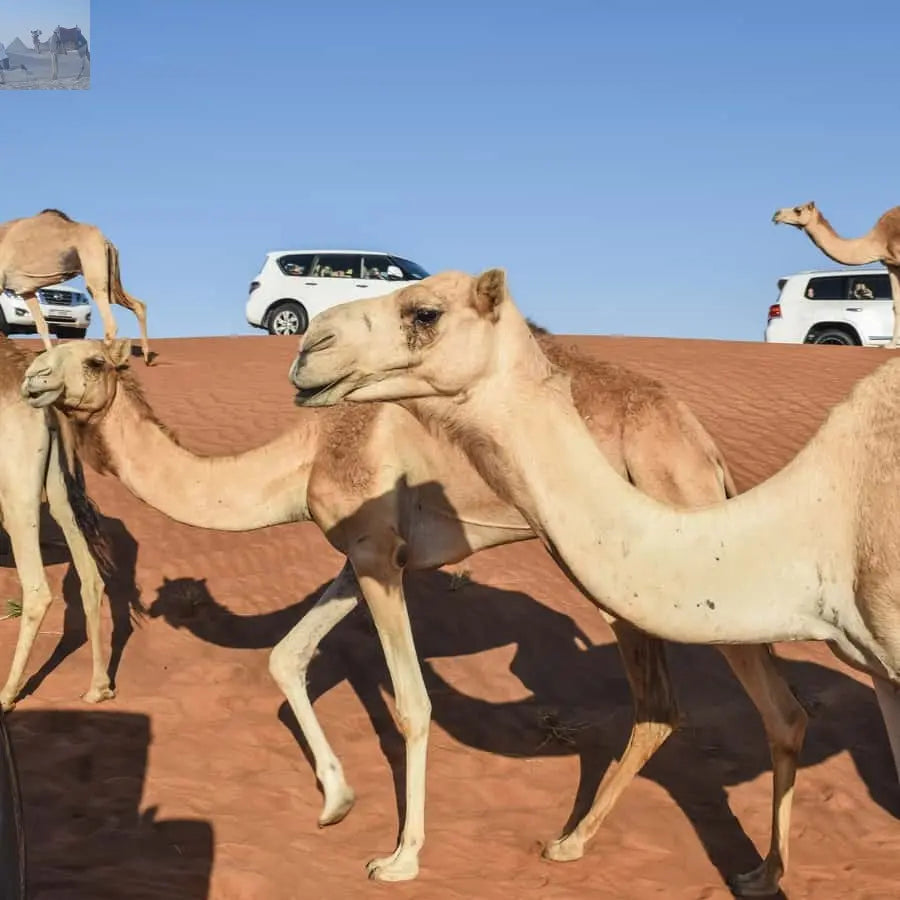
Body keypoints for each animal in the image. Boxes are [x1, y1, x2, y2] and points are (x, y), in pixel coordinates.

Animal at [0, 209, 153, 363]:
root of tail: (106, 241)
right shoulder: (27, 291)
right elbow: (42, 326)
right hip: (111, 281)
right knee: (138, 305)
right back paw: (146, 356)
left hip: (95, 271)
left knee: (110, 323)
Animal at [0, 337, 112, 711]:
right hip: (59, 487)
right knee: (91, 577)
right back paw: (98, 687)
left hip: (15, 489)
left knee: (37, 591)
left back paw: (6, 695)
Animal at [23, 339, 807, 896]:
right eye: (50, 349)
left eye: (91, 358)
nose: (31, 379)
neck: (303, 455)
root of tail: (699, 443)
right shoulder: (364, 554)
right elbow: (286, 655)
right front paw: (336, 801)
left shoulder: (376, 553)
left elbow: (412, 703)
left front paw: (400, 857)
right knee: (671, 708)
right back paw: (593, 845)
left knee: (754, 705)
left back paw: (749, 871)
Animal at [288, 268, 900, 891]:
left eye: (425, 313)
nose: (311, 345)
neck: (829, 514)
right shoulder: (881, 671)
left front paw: (395, 856)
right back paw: (751, 870)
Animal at [773, 201, 900, 347]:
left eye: (798, 210)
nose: (776, 214)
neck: (880, 239)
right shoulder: (891, 264)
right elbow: (896, 304)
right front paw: (890, 345)